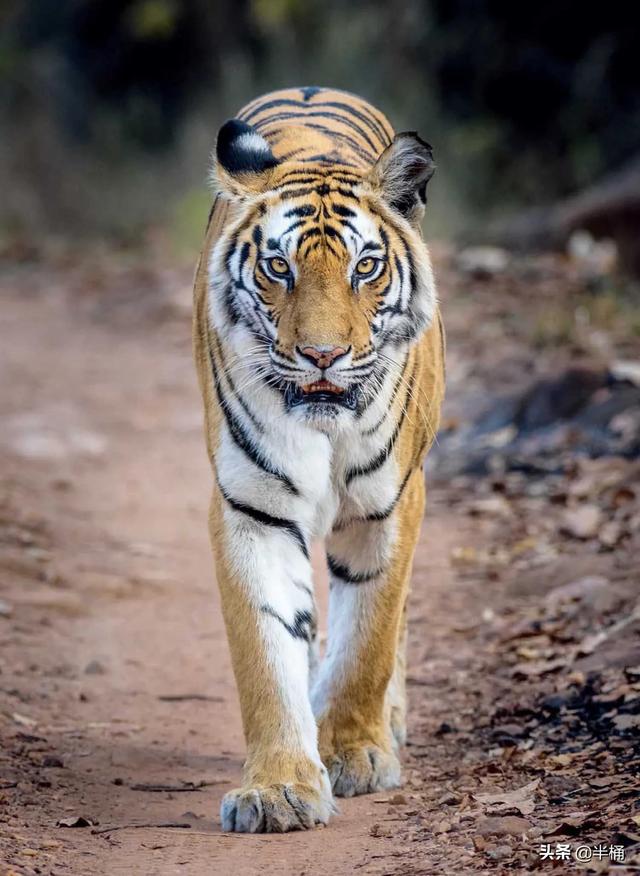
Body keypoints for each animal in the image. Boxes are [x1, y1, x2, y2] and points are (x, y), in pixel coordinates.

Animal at [191, 87, 444, 836]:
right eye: (279, 268)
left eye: (366, 267)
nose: (323, 356)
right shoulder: (250, 508)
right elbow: (267, 650)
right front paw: (278, 787)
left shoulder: (392, 504)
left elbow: (369, 638)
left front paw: (356, 754)